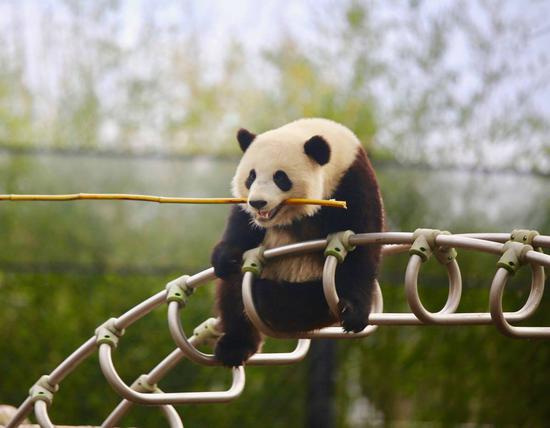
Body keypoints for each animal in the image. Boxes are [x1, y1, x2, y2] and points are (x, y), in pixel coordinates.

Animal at [211, 118, 384, 366]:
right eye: (251, 176)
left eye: (280, 177)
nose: (258, 202)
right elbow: (241, 224)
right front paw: (225, 257)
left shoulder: (353, 181)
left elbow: (361, 247)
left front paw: (354, 312)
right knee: (233, 293)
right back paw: (234, 347)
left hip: (317, 297)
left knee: (298, 303)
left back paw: (265, 294)